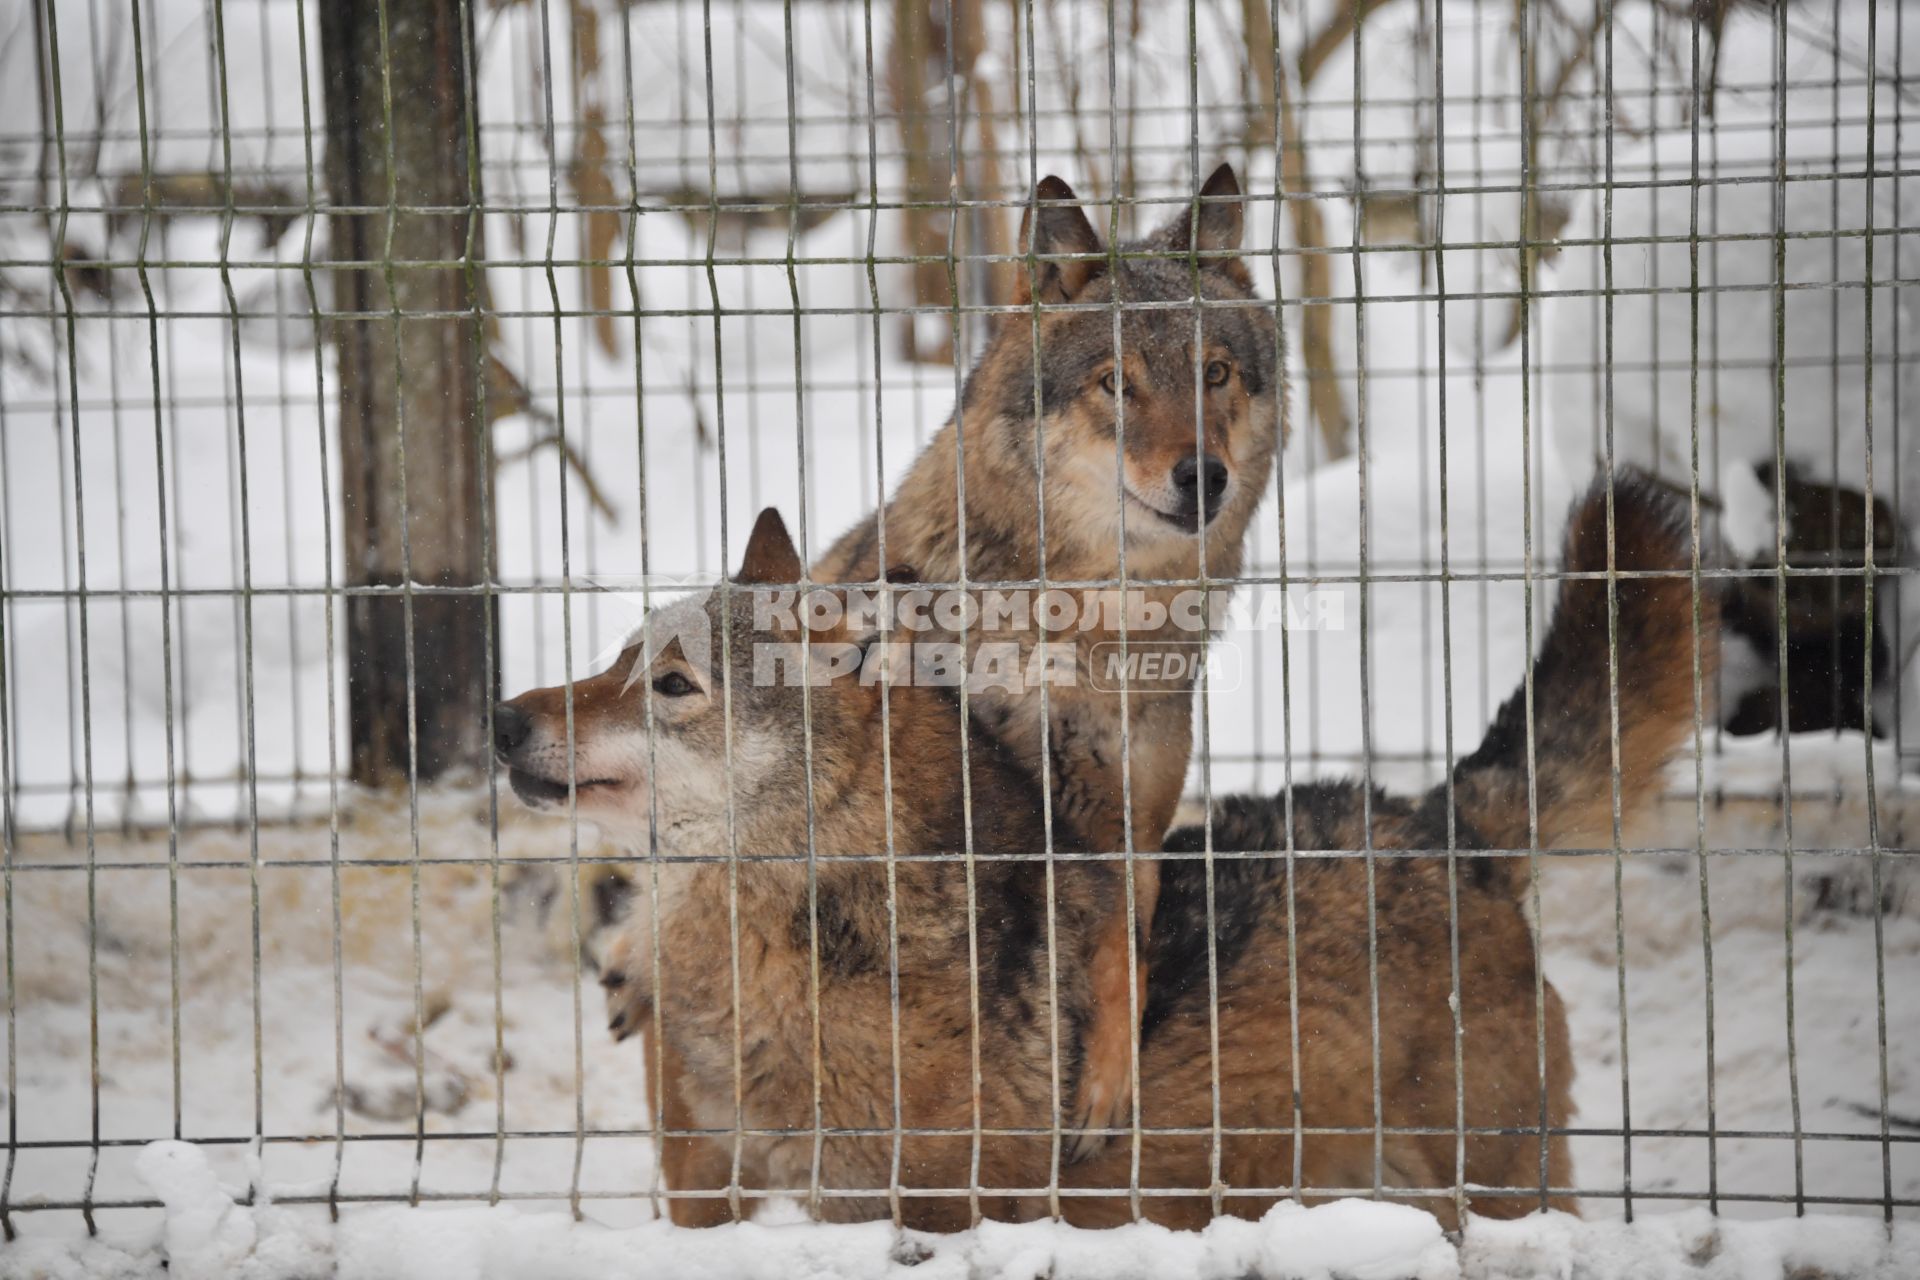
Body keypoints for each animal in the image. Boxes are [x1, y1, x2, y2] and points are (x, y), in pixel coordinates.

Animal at [499, 470, 1728, 1228]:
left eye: (670, 684)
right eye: (615, 660)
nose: (504, 721)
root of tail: (1440, 818)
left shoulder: (924, 1211)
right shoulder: (706, 1193)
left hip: (1494, 1187)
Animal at [806, 160, 1274, 1151]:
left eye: (1215, 373)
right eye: (1116, 384)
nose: (1203, 477)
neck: (1081, 637)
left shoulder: (1128, 819)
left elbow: (1121, 955)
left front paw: (1104, 1091)